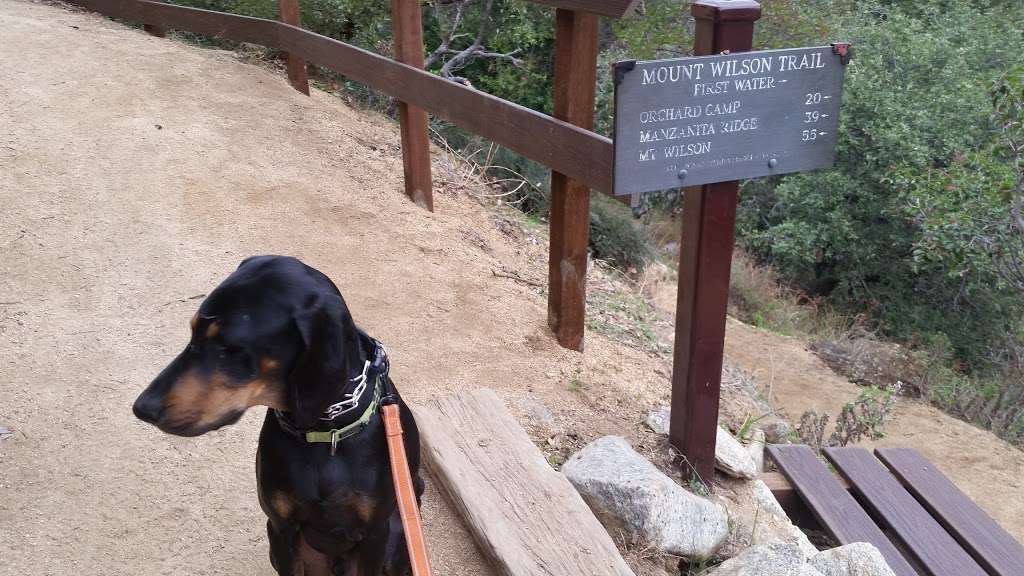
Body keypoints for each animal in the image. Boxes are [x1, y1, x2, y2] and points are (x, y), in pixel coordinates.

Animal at [134, 255, 421, 573]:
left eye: (229, 348)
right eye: (193, 330)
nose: (143, 408)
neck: (326, 432)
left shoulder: (374, 535)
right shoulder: (282, 528)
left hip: (398, 534)